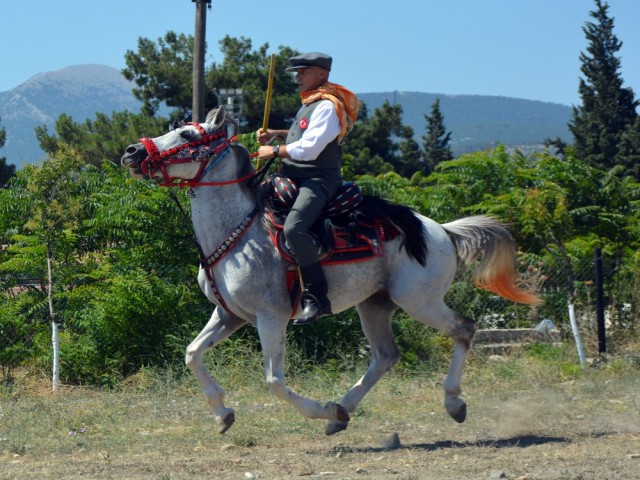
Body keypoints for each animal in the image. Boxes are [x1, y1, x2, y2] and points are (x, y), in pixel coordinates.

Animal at [121, 107, 540, 436]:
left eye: (187, 134)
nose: (132, 151)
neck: (240, 231)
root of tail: (441, 231)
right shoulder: (230, 315)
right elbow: (192, 353)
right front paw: (223, 413)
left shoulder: (270, 317)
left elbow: (274, 381)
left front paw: (317, 409)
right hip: (375, 305)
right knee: (386, 356)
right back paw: (342, 412)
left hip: (420, 301)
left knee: (464, 329)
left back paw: (452, 403)